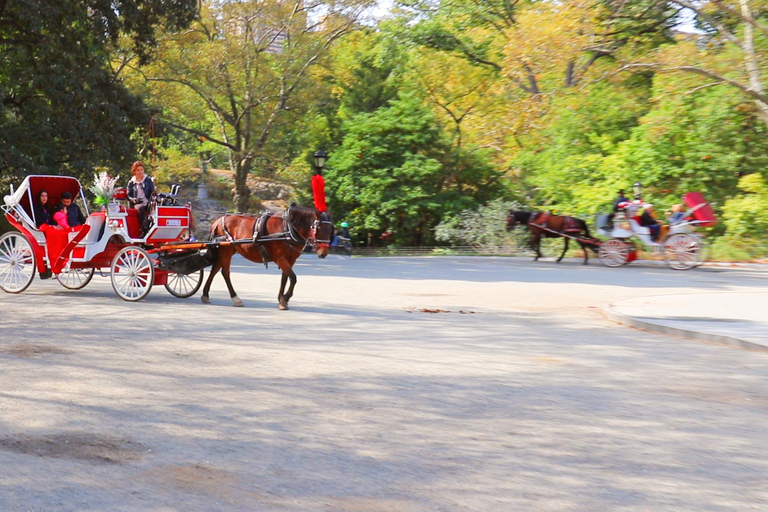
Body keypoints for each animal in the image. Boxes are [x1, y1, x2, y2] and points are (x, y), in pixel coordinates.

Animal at [204, 206, 332, 310]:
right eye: (318, 228)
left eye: (330, 229)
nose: (323, 253)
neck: (287, 229)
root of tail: (217, 221)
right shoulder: (280, 258)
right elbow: (293, 278)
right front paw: (285, 298)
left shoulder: (290, 259)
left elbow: (285, 278)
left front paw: (281, 299)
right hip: (226, 251)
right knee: (225, 273)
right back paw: (235, 298)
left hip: (227, 251)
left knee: (214, 269)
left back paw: (205, 294)